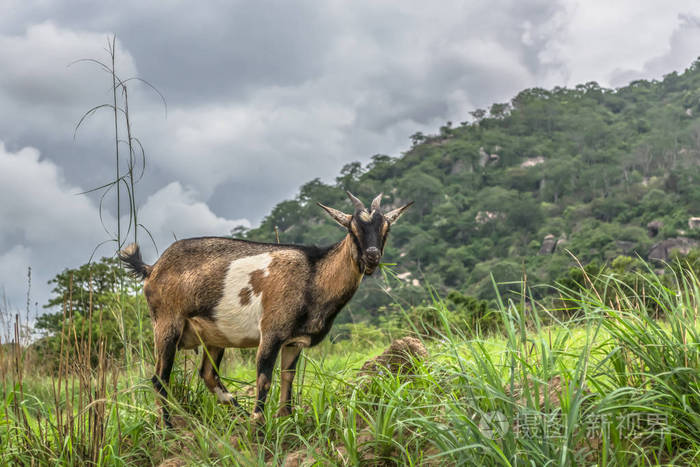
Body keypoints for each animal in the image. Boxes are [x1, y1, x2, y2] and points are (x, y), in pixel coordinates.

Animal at [118, 191, 412, 428]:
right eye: (352, 229)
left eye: (386, 228)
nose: (372, 256)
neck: (313, 275)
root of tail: (153, 268)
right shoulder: (271, 332)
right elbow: (264, 379)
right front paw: (259, 424)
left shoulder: (294, 341)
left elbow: (288, 379)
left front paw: (285, 420)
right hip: (167, 324)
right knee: (160, 378)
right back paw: (168, 428)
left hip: (214, 335)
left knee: (208, 374)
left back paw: (236, 412)